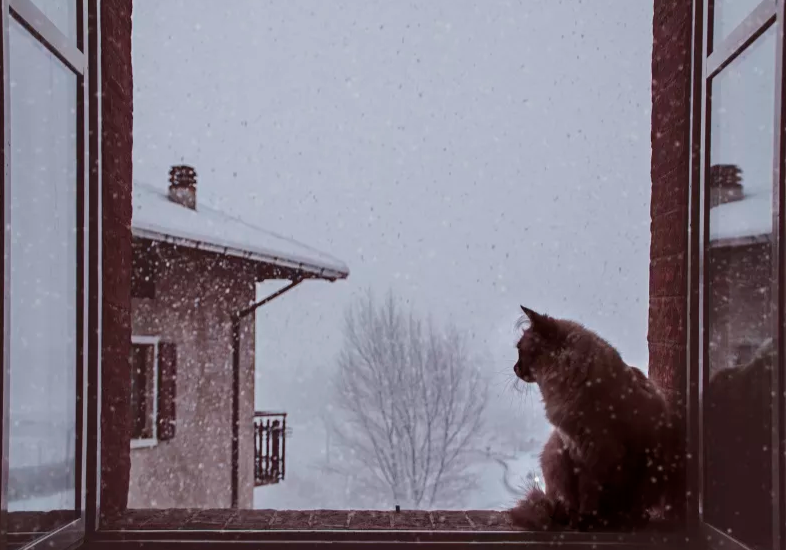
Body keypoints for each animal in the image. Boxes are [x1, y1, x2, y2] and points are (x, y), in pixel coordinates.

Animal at [508, 308, 680, 532]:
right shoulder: (573, 446)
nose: (515, 368)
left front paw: (588, 521)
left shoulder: (598, 451)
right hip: (554, 450)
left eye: (521, 350)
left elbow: (590, 493)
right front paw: (579, 520)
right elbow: (578, 495)